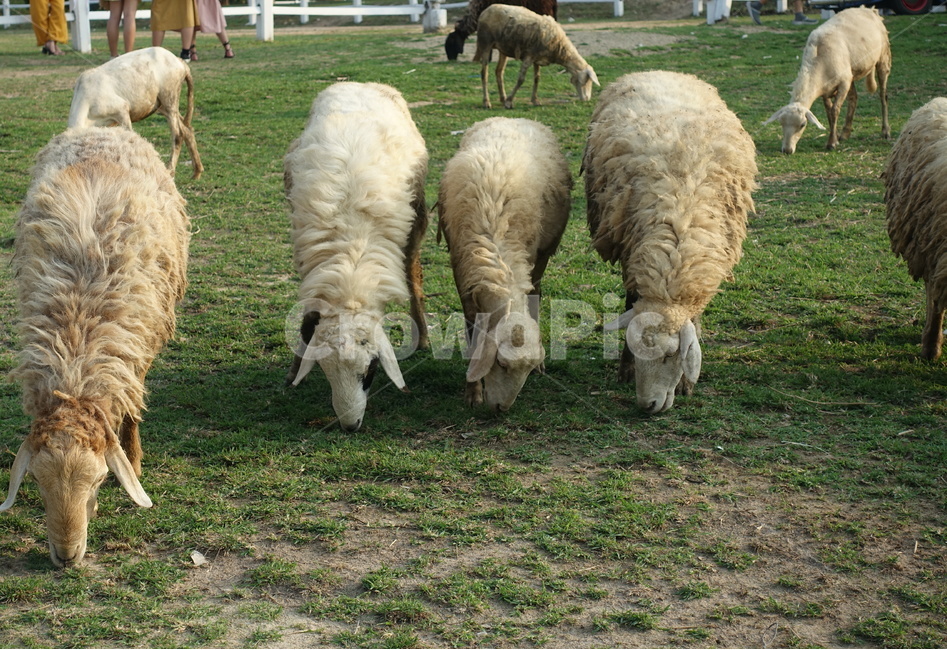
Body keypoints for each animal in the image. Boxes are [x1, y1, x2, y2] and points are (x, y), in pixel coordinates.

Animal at [0, 126, 190, 568]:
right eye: (36, 480)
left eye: (101, 478)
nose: (66, 556)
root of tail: (100, 128)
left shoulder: (136, 348)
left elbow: (132, 407)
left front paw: (133, 461)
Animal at [68, 46, 204, 179]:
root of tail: (180, 62)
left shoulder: (122, 110)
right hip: (160, 105)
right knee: (187, 129)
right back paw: (197, 172)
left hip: (170, 96)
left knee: (178, 135)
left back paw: (170, 171)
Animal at [437, 117, 570, 411]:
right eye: (500, 363)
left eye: (524, 370)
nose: (501, 409)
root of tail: (515, 118)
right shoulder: (463, 272)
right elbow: (472, 329)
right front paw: (472, 392)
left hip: (542, 253)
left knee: (536, 292)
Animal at [583, 70, 757, 414]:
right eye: (635, 351)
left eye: (669, 356)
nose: (647, 405)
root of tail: (661, 72)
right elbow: (631, 302)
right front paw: (625, 369)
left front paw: (688, 383)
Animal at [764, 6, 891, 154]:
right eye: (781, 123)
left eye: (803, 124)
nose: (787, 150)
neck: (818, 61)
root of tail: (868, 9)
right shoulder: (826, 89)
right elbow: (829, 113)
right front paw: (835, 137)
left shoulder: (843, 84)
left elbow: (834, 111)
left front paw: (831, 143)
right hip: (851, 73)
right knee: (854, 97)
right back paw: (845, 133)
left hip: (883, 57)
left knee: (883, 95)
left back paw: (886, 131)